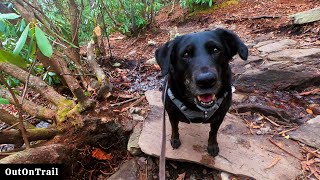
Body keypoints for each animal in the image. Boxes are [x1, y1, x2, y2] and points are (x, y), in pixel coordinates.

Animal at [155, 28, 248, 156]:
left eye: (215, 50)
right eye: (186, 54)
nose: (206, 81)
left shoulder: (219, 117)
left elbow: (213, 132)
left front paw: (212, 145)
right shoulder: (171, 114)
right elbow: (174, 127)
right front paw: (174, 139)